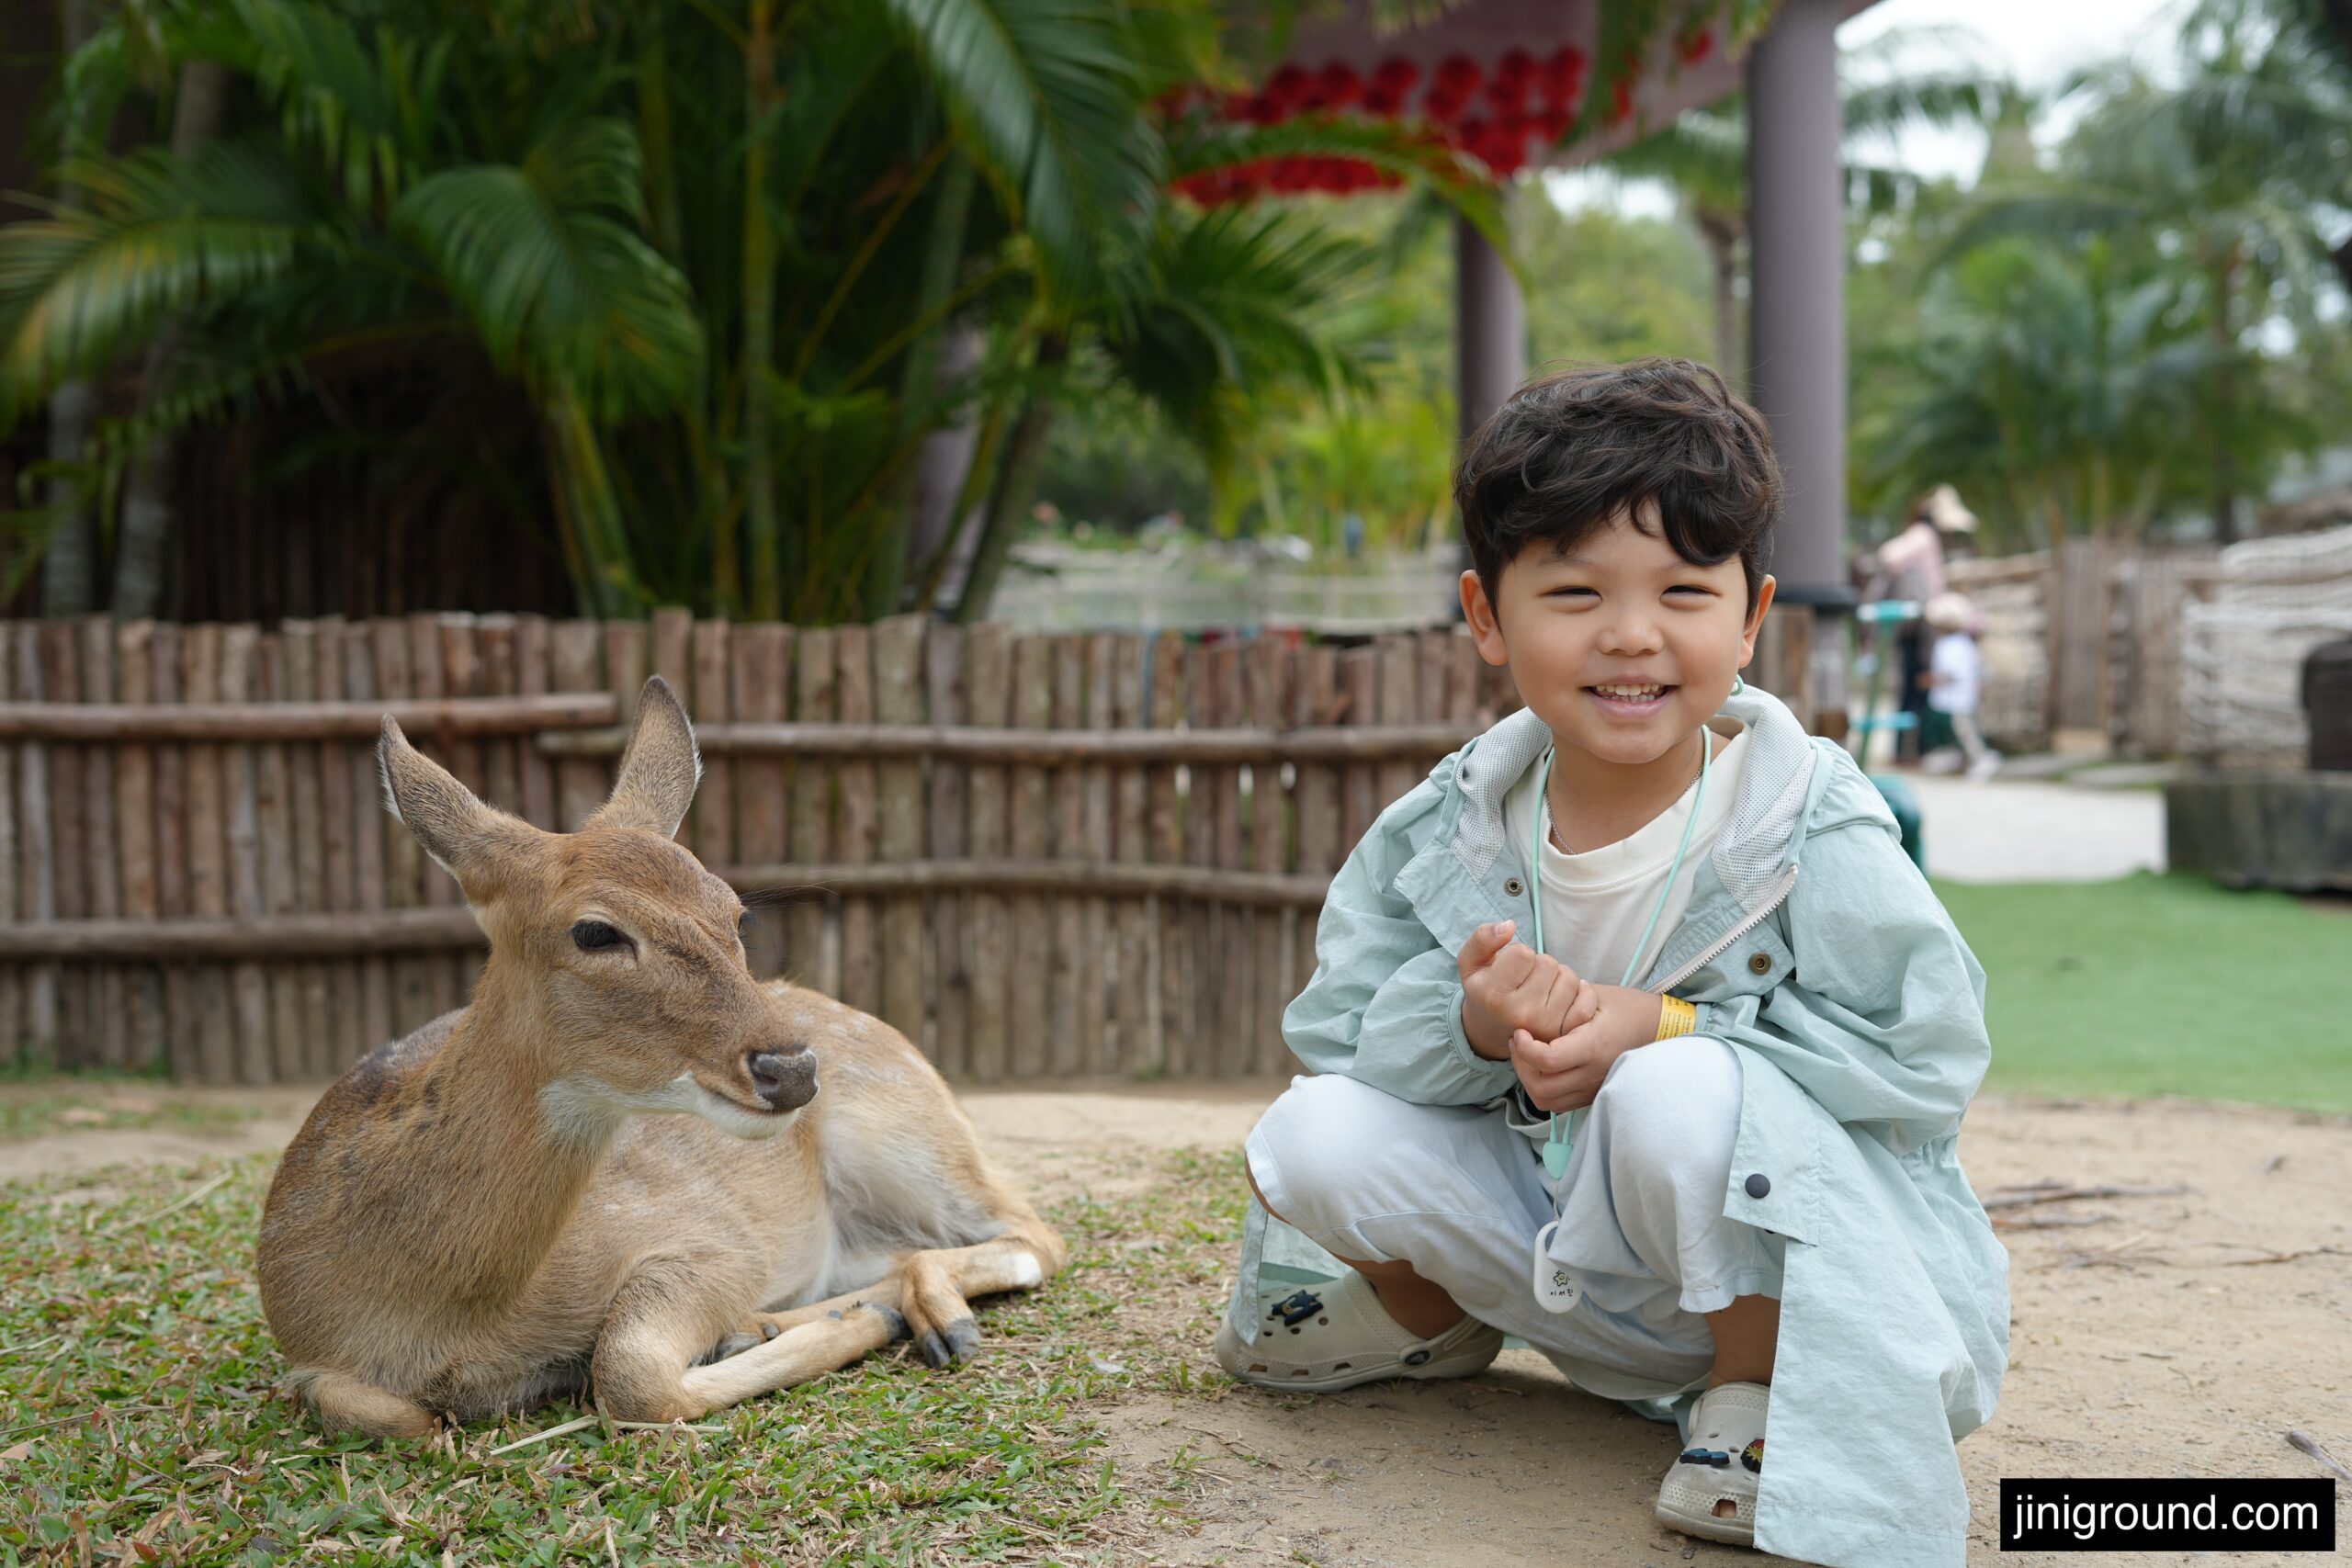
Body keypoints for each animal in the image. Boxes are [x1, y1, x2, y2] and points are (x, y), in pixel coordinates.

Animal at [256, 676, 1066, 1439]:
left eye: (735, 910)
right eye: (594, 931)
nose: (790, 1069)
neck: (434, 1316)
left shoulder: (716, 1242)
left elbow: (630, 1371)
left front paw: (846, 1324)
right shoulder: (306, 1353)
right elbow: (385, 1411)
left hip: (907, 1133)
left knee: (1034, 1231)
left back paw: (920, 1322)